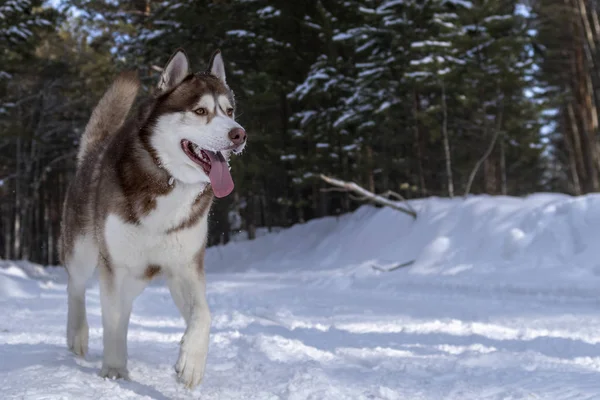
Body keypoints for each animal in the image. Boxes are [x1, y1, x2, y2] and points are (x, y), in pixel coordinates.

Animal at [58, 49, 246, 388]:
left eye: (229, 111)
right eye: (200, 111)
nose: (239, 133)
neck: (167, 179)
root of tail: (92, 152)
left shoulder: (184, 266)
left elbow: (204, 314)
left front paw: (191, 363)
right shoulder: (115, 265)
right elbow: (112, 320)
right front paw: (114, 368)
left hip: (137, 276)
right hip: (83, 250)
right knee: (76, 288)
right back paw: (77, 334)